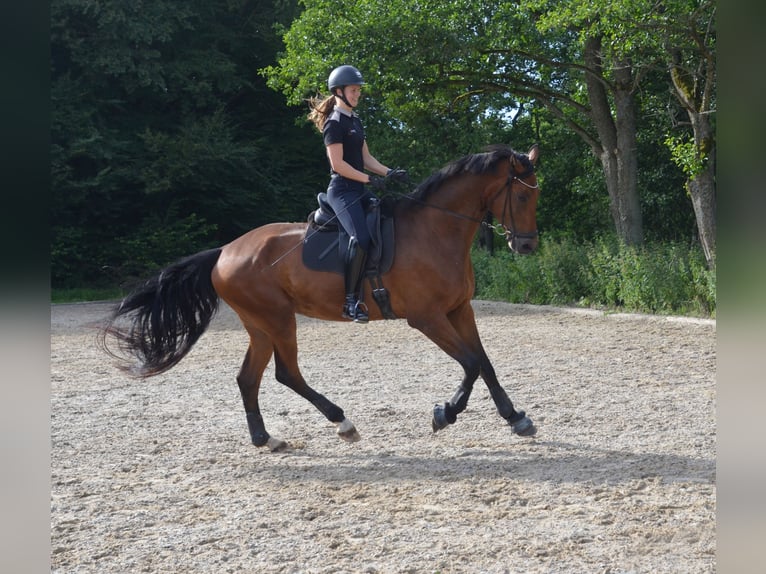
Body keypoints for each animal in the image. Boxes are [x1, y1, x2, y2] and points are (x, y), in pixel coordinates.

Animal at [102, 144, 544, 454]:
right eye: (523, 197)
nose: (526, 246)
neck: (435, 230)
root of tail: (225, 251)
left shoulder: (459, 309)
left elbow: (484, 362)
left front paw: (516, 418)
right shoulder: (427, 317)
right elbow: (470, 364)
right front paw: (444, 414)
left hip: (260, 325)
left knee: (249, 377)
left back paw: (267, 438)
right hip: (278, 319)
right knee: (286, 373)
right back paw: (342, 423)